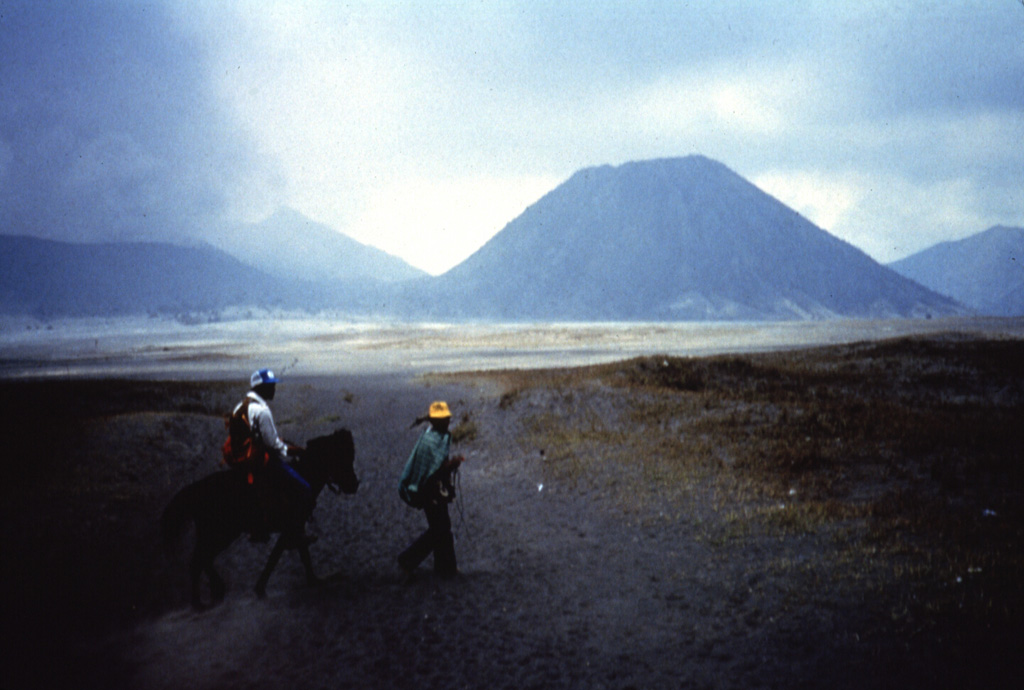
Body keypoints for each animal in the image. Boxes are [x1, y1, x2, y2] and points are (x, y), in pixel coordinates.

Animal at [162, 427, 360, 606]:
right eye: (341, 457)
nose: (354, 485)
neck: (304, 475)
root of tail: (195, 489)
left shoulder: (292, 530)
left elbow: (283, 555)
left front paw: (264, 588)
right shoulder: (293, 528)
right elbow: (289, 555)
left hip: (219, 535)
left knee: (203, 560)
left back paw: (214, 592)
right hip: (219, 534)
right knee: (198, 561)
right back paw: (200, 602)